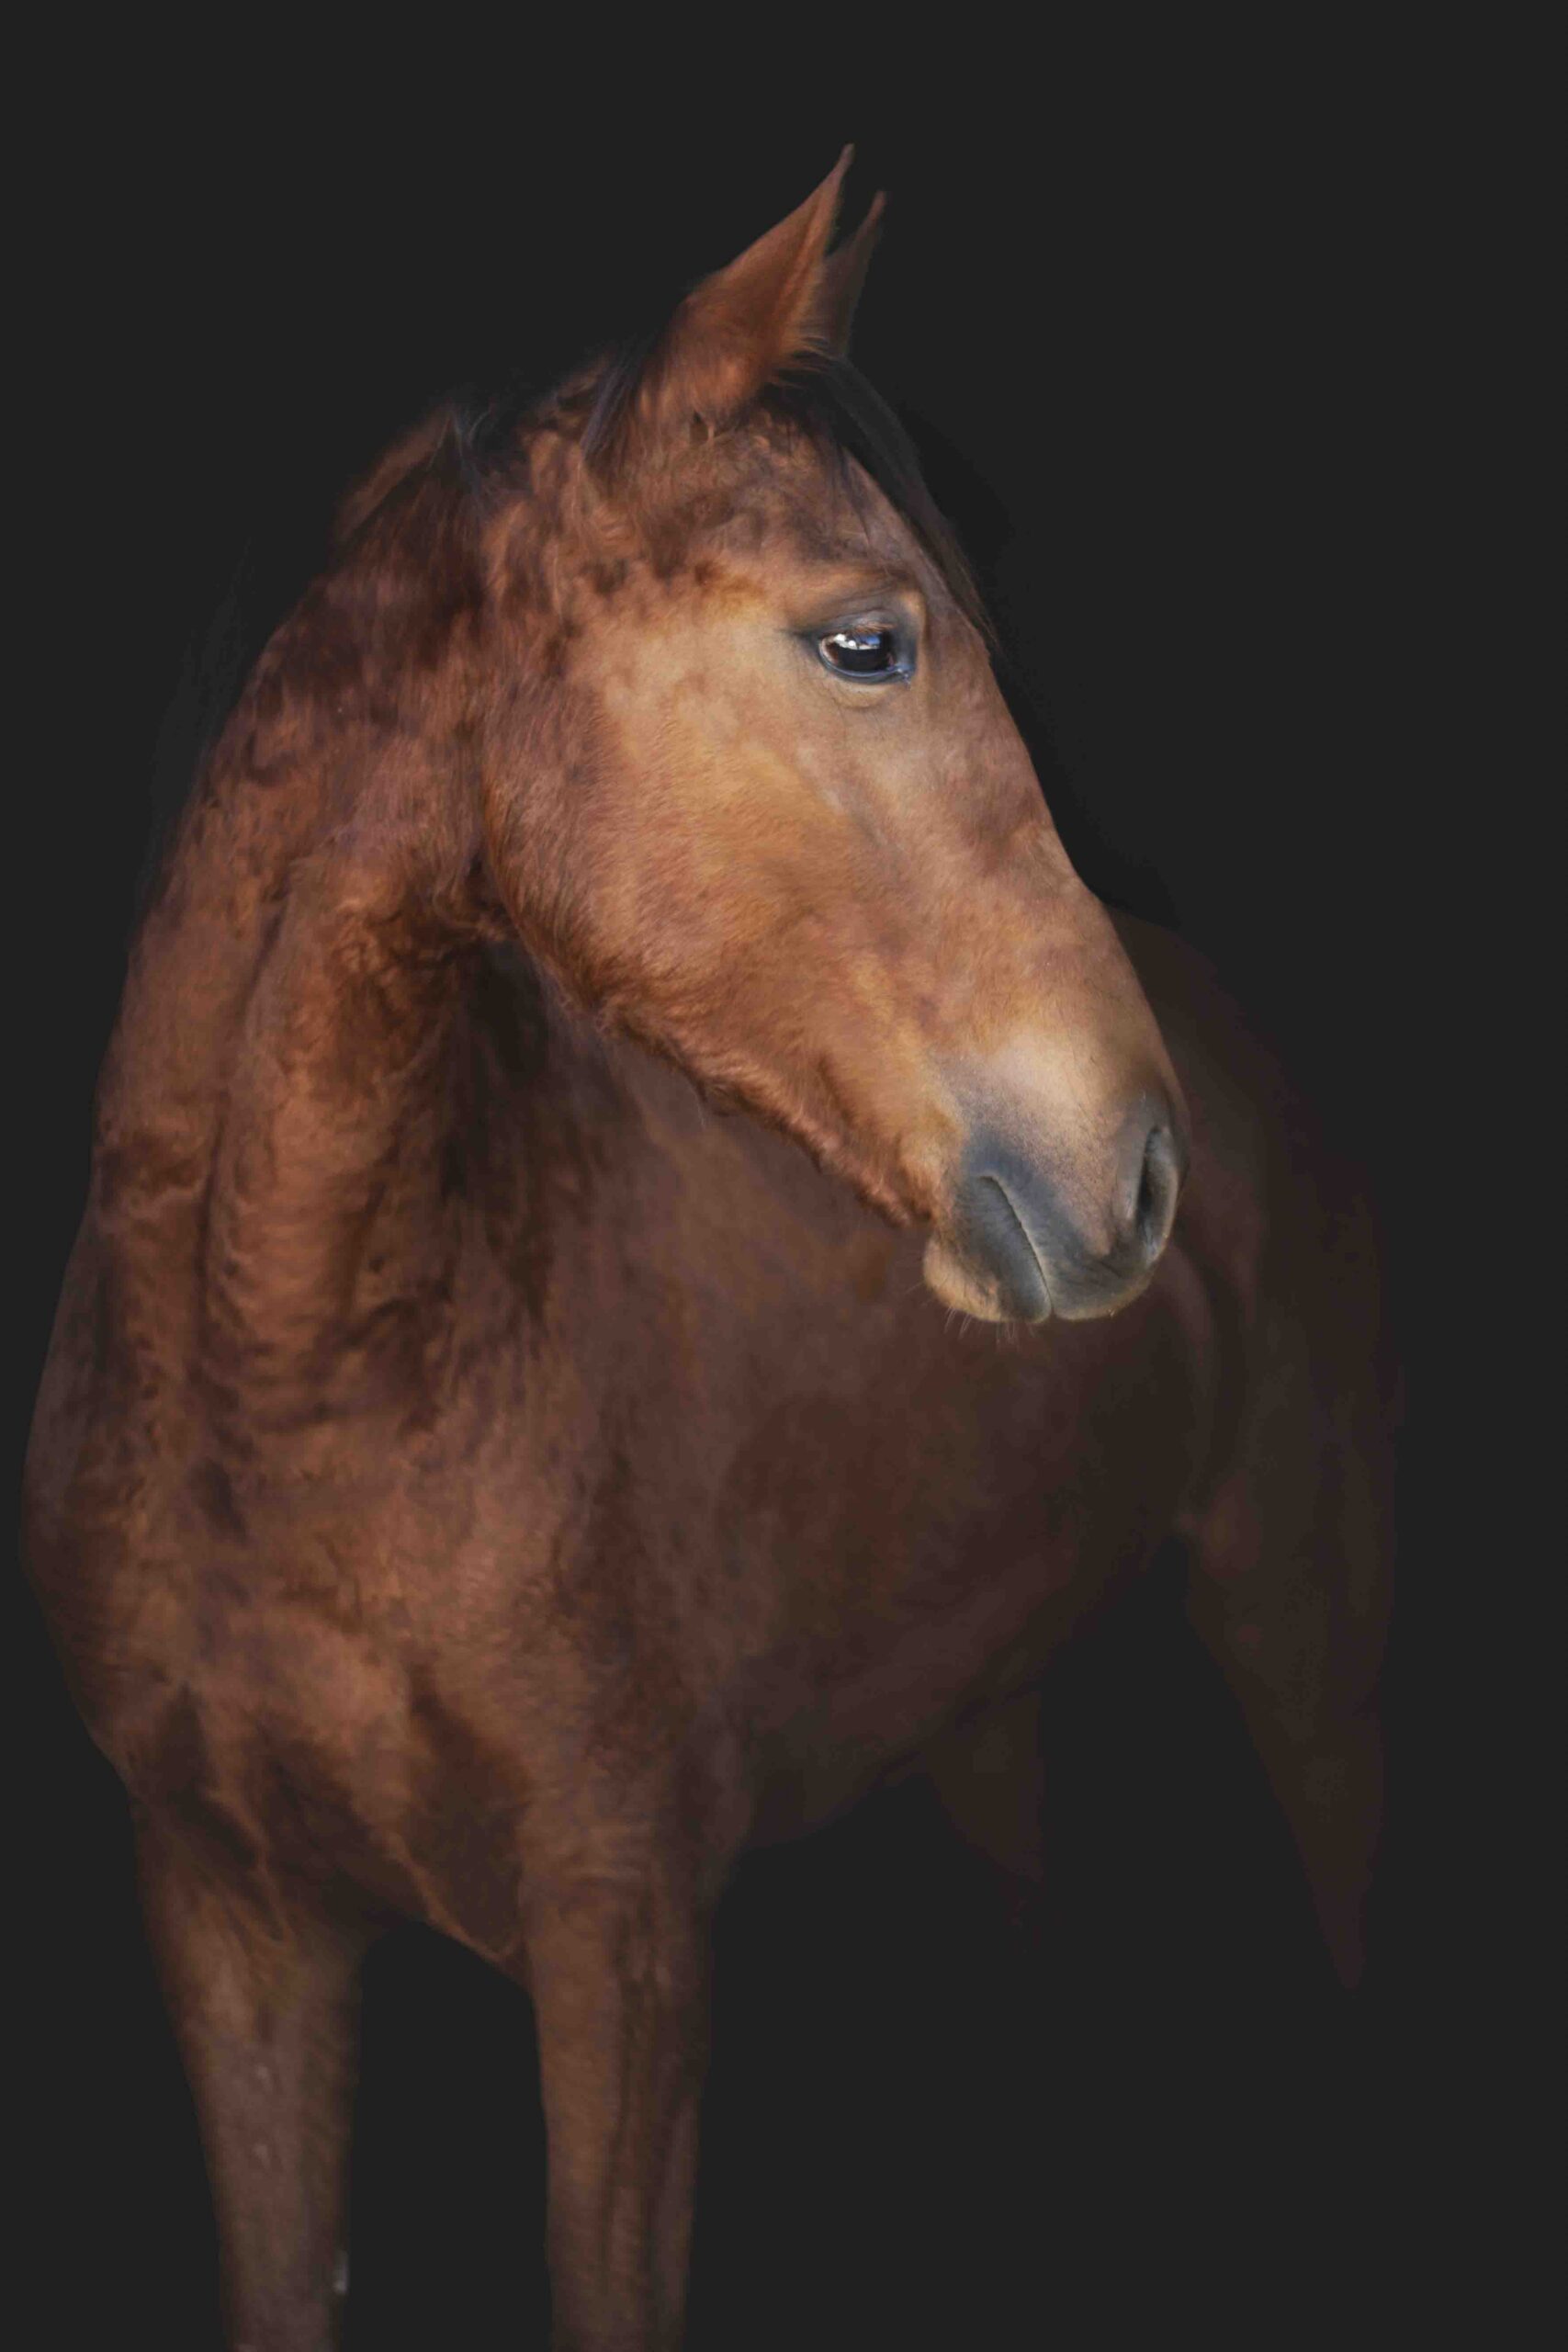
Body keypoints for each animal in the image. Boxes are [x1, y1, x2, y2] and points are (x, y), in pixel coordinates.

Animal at [22, 150, 1393, 2350]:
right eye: (865, 642)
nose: (1133, 1171)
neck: (295, 1382)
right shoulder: (226, 1918)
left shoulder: (626, 1950)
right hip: (984, 1699)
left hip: (1304, 1630)